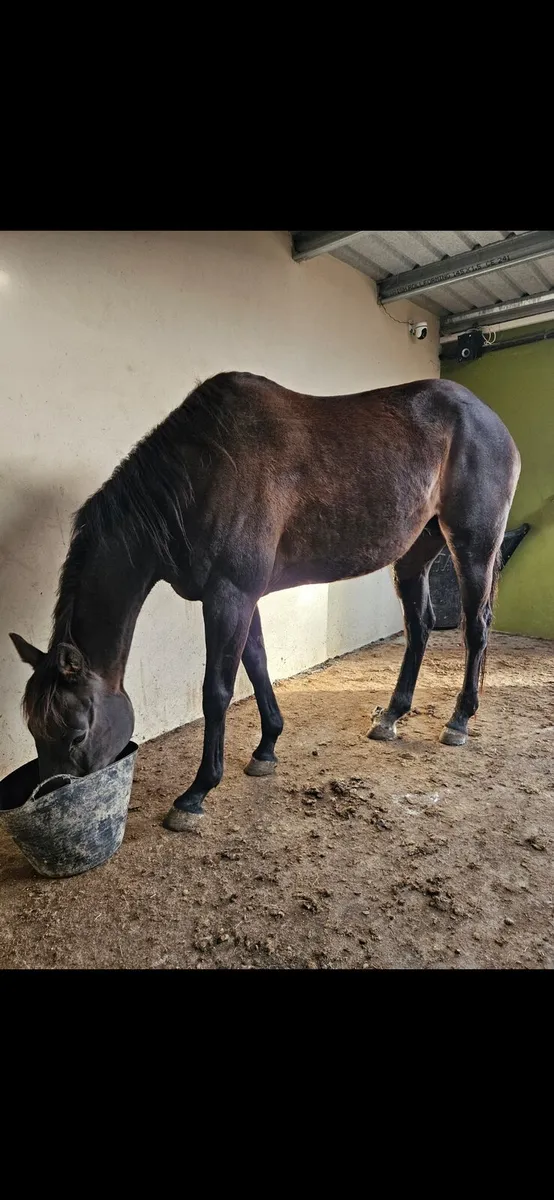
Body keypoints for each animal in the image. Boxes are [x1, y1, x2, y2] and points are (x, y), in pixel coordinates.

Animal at [10, 371, 520, 832]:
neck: (199, 474)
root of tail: (493, 421)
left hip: (473, 547)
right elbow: (257, 665)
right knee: (419, 627)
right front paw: (266, 748)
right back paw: (392, 716)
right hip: (416, 553)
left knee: (476, 628)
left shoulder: (228, 595)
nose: (52, 799)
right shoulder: (241, 595)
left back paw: (459, 721)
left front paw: (196, 793)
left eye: (76, 734)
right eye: (34, 731)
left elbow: (217, 690)